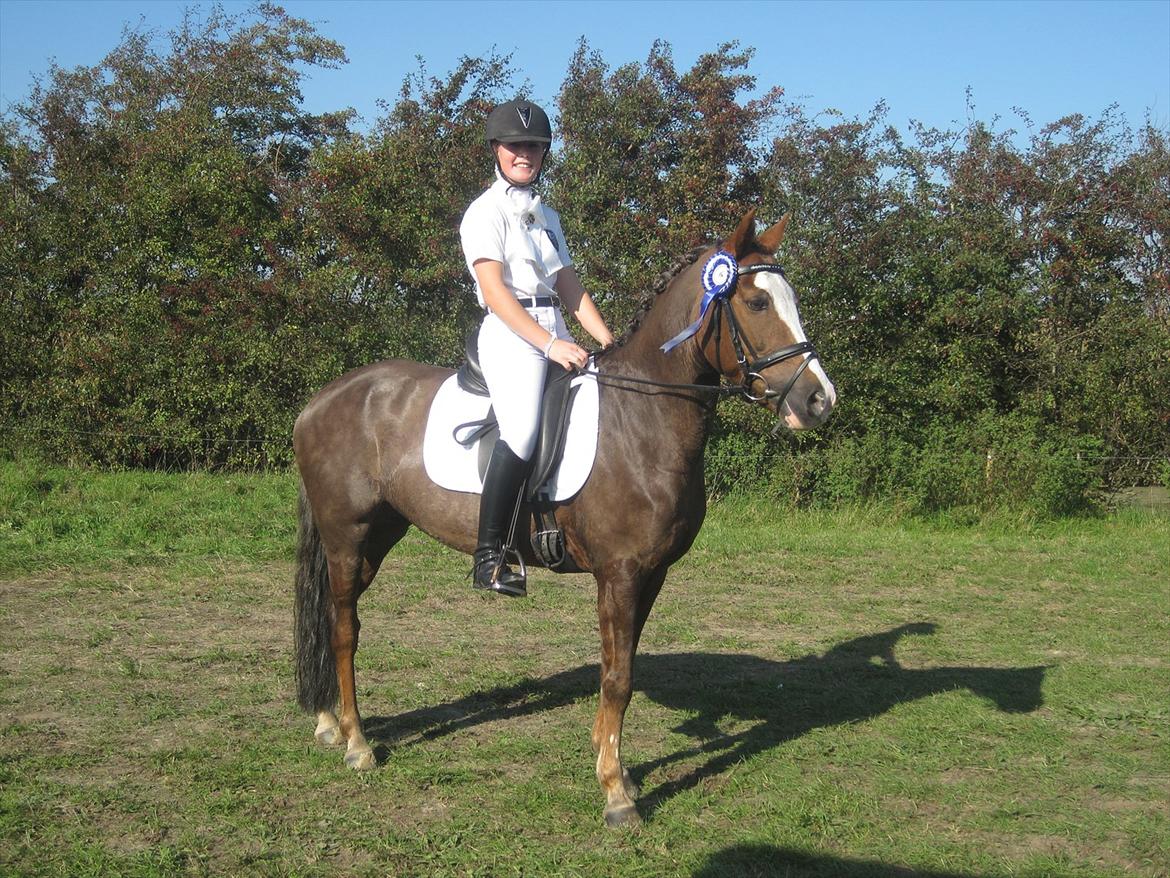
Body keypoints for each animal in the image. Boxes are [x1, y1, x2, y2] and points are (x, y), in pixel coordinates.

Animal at [292, 208, 837, 827]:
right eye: (757, 302)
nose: (819, 401)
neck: (642, 416)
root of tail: (321, 399)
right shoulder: (620, 574)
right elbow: (618, 678)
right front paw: (616, 794)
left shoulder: (651, 575)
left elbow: (621, 668)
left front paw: (613, 764)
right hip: (346, 535)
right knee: (343, 629)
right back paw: (358, 743)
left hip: (379, 533)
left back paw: (330, 723)